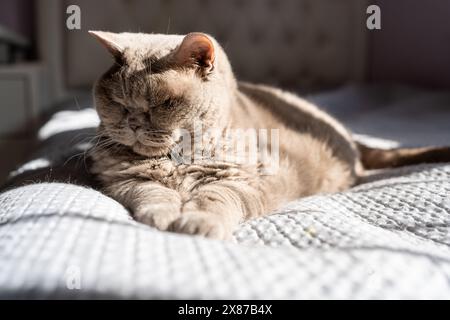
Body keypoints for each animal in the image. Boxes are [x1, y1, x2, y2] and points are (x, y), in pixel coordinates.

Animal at [89, 30, 450, 240]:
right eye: (117, 101)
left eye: (164, 103)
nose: (133, 121)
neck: (178, 160)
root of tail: (348, 136)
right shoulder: (125, 180)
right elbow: (152, 193)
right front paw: (163, 215)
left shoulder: (241, 182)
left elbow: (213, 198)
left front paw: (197, 221)